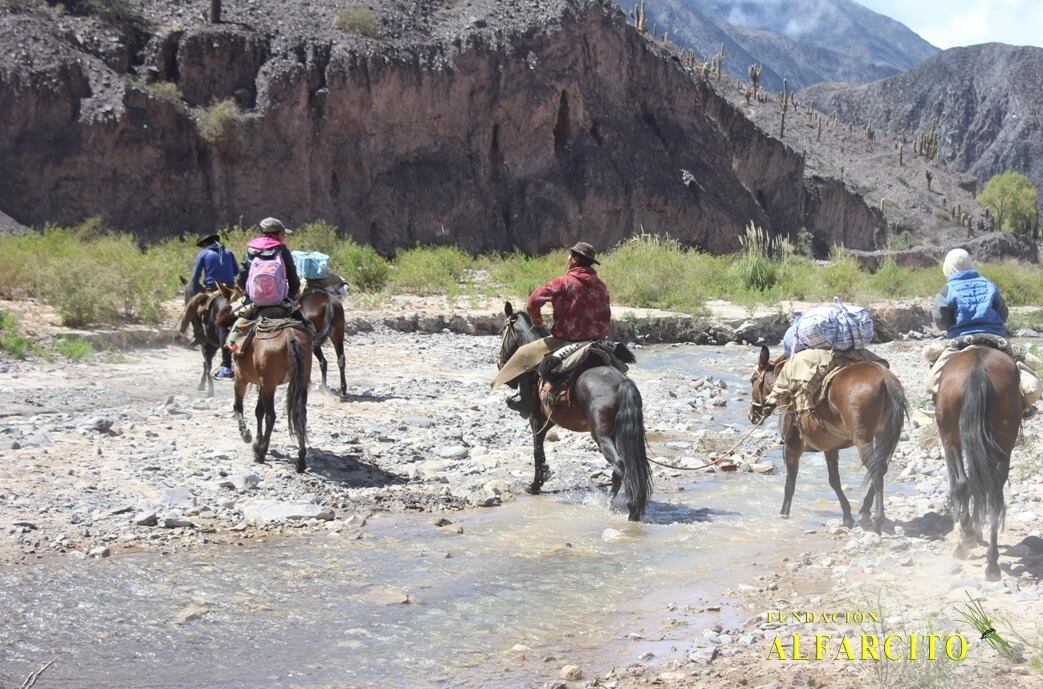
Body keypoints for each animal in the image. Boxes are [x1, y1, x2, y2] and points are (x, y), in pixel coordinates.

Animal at [216, 281, 310, 471]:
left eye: (227, 306)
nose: (217, 321)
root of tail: (291, 336)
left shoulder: (242, 378)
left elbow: (239, 406)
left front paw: (248, 436)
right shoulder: (262, 384)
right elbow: (258, 410)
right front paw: (257, 440)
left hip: (268, 384)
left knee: (271, 416)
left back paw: (261, 452)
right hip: (299, 382)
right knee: (300, 414)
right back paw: (301, 459)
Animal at [496, 304, 650, 519]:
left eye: (502, 330)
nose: (500, 361)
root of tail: (622, 384)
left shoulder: (536, 420)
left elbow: (537, 452)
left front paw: (535, 485)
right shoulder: (548, 421)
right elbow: (540, 452)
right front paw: (543, 476)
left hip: (601, 435)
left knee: (620, 466)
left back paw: (611, 505)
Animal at [746, 346, 909, 533]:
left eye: (752, 380)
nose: (751, 415)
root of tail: (885, 378)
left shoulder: (791, 448)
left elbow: (790, 484)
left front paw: (783, 514)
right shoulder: (830, 448)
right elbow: (834, 481)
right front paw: (847, 516)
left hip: (863, 440)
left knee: (876, 470)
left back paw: (877, 520)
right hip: (882, 435)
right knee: (881, 467)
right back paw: (865, 511)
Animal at [938, 346, 1017, 579]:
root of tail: (977, 367)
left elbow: (962, 484)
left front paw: (967, 531)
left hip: (949, 435)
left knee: (965, 484)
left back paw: (963, 543)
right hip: (1004, 440)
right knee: (993, 492)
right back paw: (992, 564)